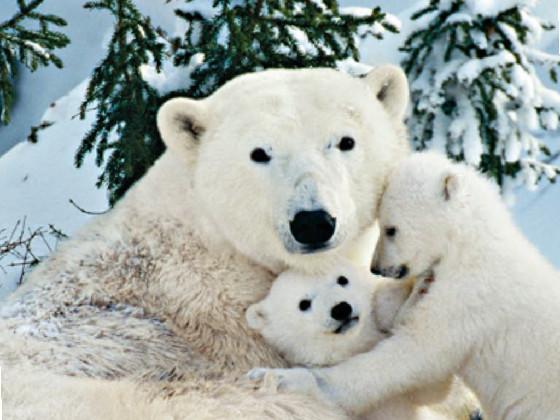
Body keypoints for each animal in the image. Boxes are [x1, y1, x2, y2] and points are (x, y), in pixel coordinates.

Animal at [247, 266, 452, 420]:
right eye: (304, 304)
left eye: (342, 279)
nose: (341, 309)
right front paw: (272, 378)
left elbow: (430, 391)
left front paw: (421, 289)